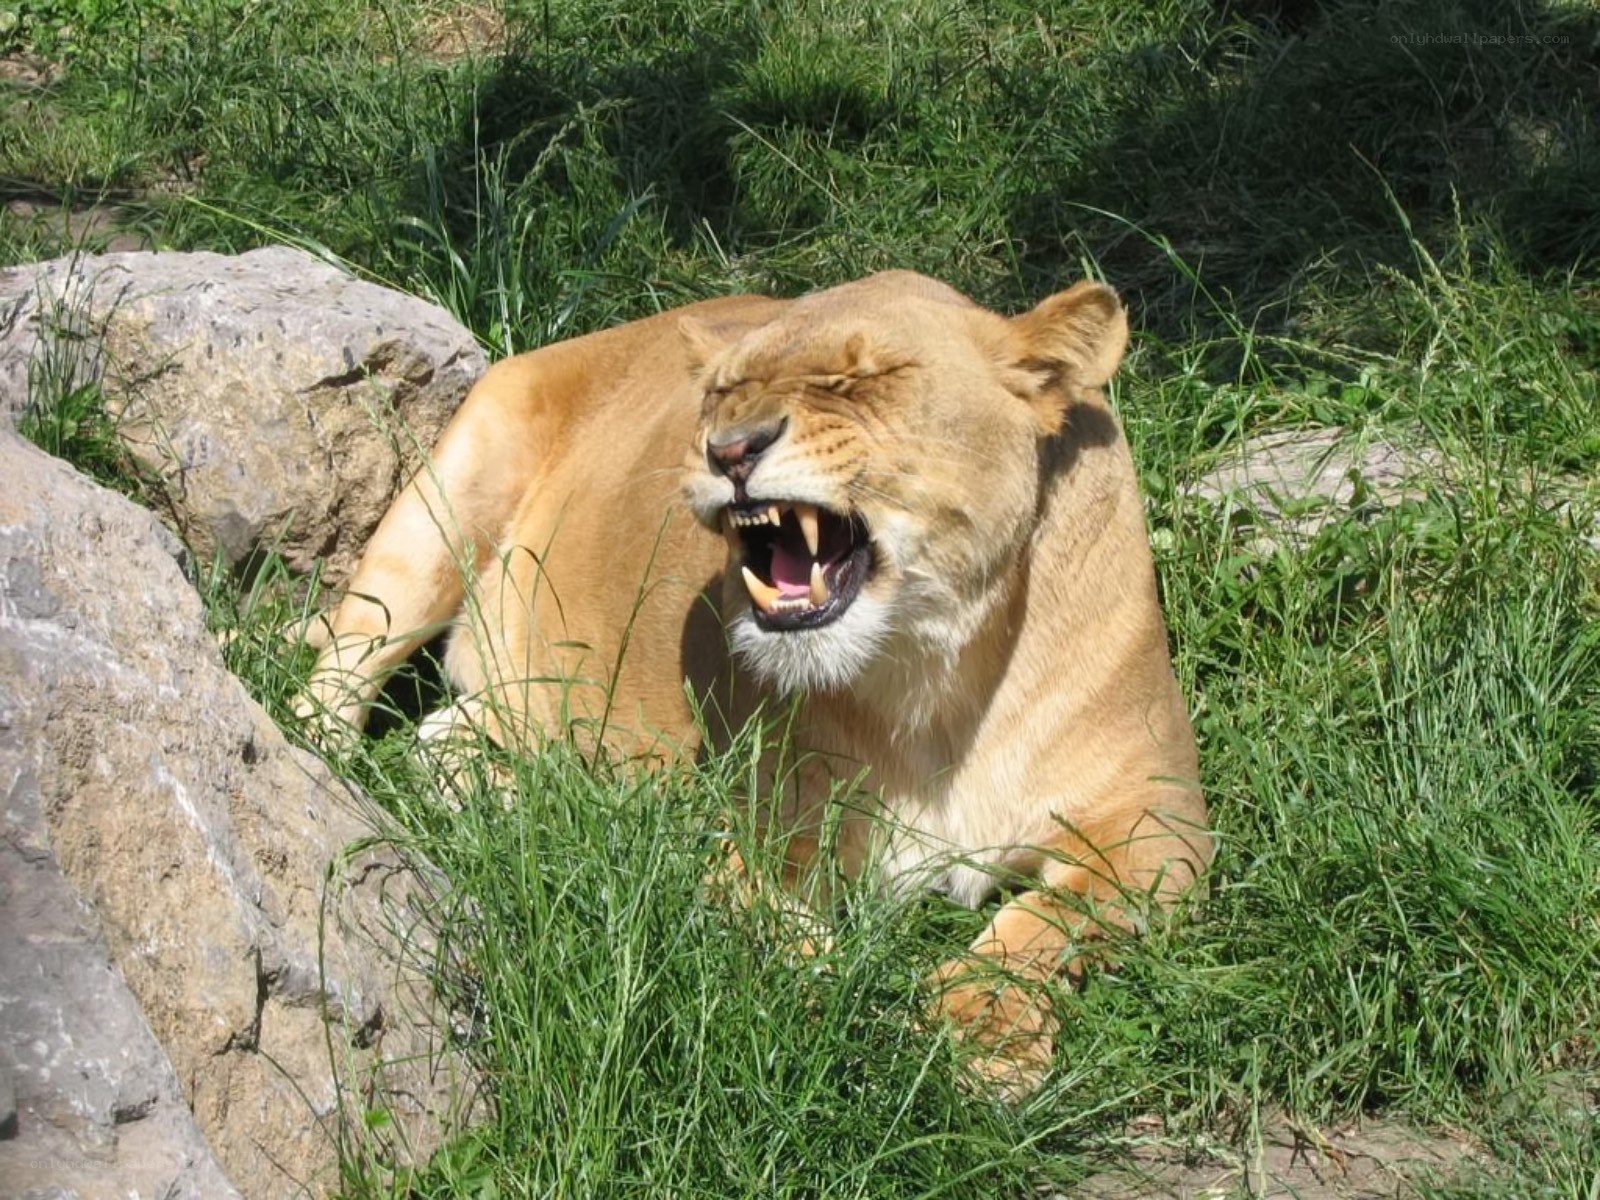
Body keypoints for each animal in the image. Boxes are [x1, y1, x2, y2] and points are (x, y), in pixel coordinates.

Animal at [297, 270, 1210, 1096]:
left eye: (860, 380)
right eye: (723, 391)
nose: (729, 449)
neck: (931, 679)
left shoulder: (1161, 819)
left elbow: (1052, 919)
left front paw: (982, 1027)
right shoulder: (717, 822)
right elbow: (785, 935)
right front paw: (852, 1014)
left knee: (445, 734)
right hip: (444, 506)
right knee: (333, 679)